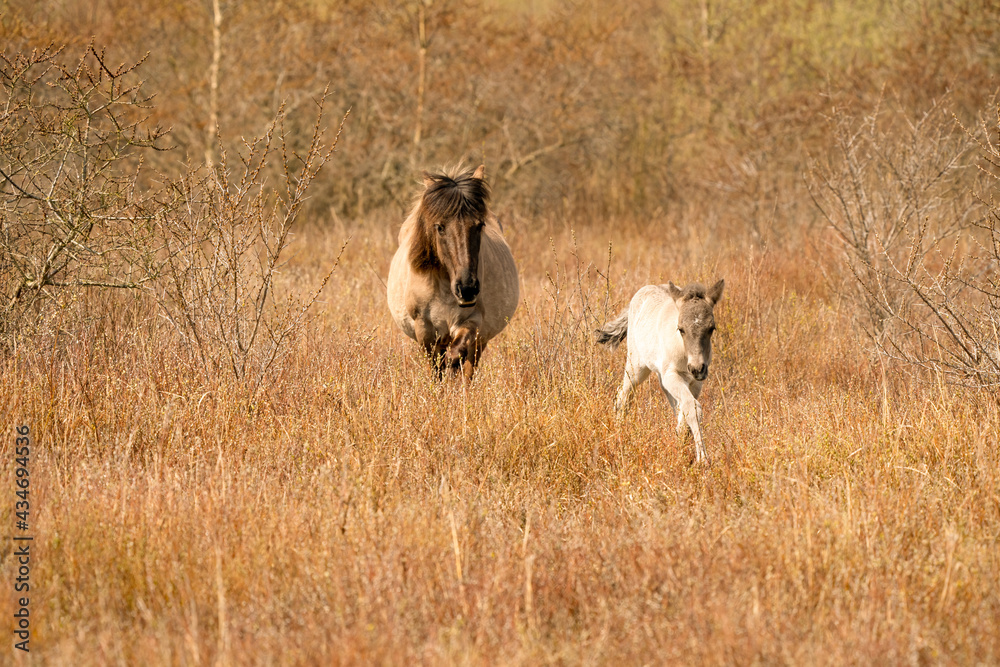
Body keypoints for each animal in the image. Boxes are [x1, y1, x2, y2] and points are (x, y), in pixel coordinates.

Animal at [387, 165, 519, 380]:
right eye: (439, 227)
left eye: (479, 225)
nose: (467, 289)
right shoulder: (424, 329)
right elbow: (435, 367)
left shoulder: (473, 321)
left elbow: (457, 354)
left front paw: (452, 366)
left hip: (481, 341)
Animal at [596, 280, 724, 464]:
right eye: (681, 329)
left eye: (711, 328)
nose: (696, 368)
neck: (684, 351)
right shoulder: (671, 375)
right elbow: (692, 408)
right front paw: (702, 459)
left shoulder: (695, 382)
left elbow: (685, 411)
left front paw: (681, 443)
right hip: (636, 367)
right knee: (623, 395)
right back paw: (618, 432)